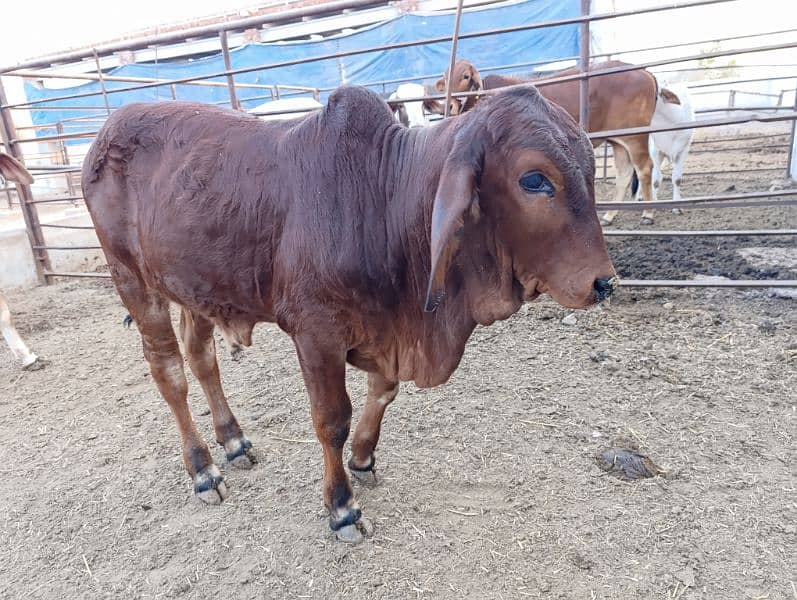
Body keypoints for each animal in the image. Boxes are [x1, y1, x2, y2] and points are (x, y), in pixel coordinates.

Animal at [81, 85, 616, 544]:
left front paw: (363, 456)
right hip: (133, 281)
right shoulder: (316, 333)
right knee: (169, 372)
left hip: (200, 289)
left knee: (201, 357)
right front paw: (341, 506)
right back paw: (202, 469)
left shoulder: (388, 328)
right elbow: (331, 420)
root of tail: (106, 130)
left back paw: (233, 441)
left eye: (590, 168)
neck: (387, 201)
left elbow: (383, 392)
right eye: (534, 179)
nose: (604, 283)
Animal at [438, 60, 656, 225]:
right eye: (446, 77)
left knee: (644, 168)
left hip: (635, 137)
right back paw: (610, 216)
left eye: (466, 76)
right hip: (619, 141)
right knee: (624, 174)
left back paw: (648, 213)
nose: (449, 105)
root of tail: (644, 72)